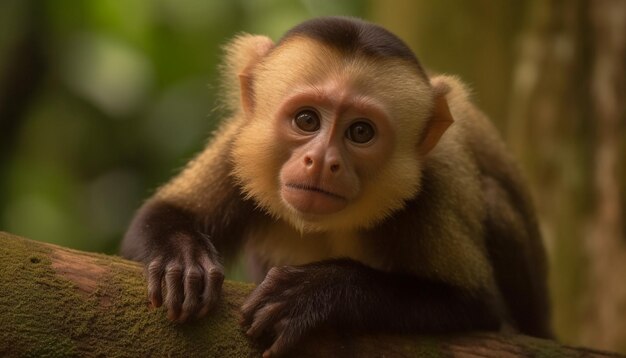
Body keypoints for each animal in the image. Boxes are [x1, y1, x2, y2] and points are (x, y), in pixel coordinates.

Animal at [119, 16, 548, 358]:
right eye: (307, 120)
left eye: (360, 132)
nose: (323, 161)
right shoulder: (238, 143)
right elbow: (160, 216)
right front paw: (181, 256)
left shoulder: (435, 183)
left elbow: (478, 307)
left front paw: (317, 290)